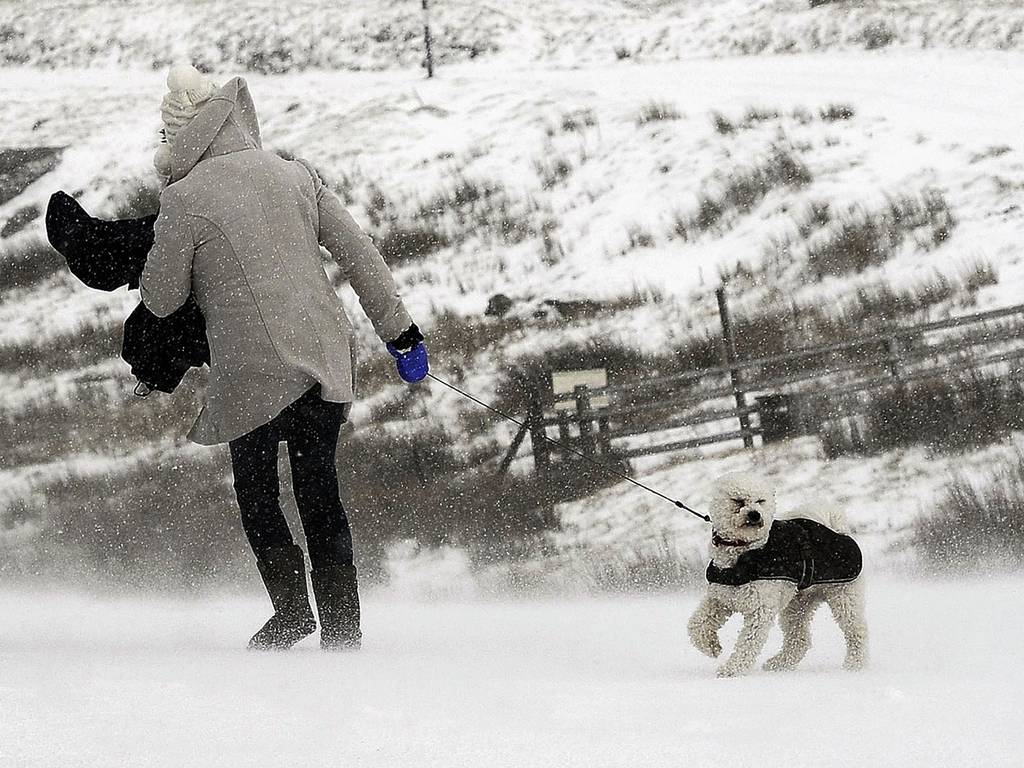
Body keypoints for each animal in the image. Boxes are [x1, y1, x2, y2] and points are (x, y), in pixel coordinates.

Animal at [688, 473, 864, 675]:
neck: (744, 551)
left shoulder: (760, 610)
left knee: (857, 632)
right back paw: (778, 664)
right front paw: (711, 646)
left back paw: (855, 665)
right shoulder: (720, 598)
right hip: (797, 605)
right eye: (738, 500)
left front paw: (731, 670)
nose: (755, 514)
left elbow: (747, 644)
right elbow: (696, 623)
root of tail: (838, 530)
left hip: (845, 598)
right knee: (799, 640)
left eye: (760, 501)